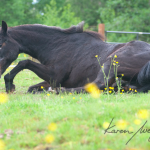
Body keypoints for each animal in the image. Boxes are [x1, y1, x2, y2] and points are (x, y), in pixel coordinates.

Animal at [0, 20, 149, 93]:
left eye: (1, 44)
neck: (56, 45)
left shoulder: (54, 76)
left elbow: (24, 63)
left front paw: (9, 84)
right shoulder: (52, 80)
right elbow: (32, 88)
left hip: (111, 62)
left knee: (97, 85)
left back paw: (60, 91)